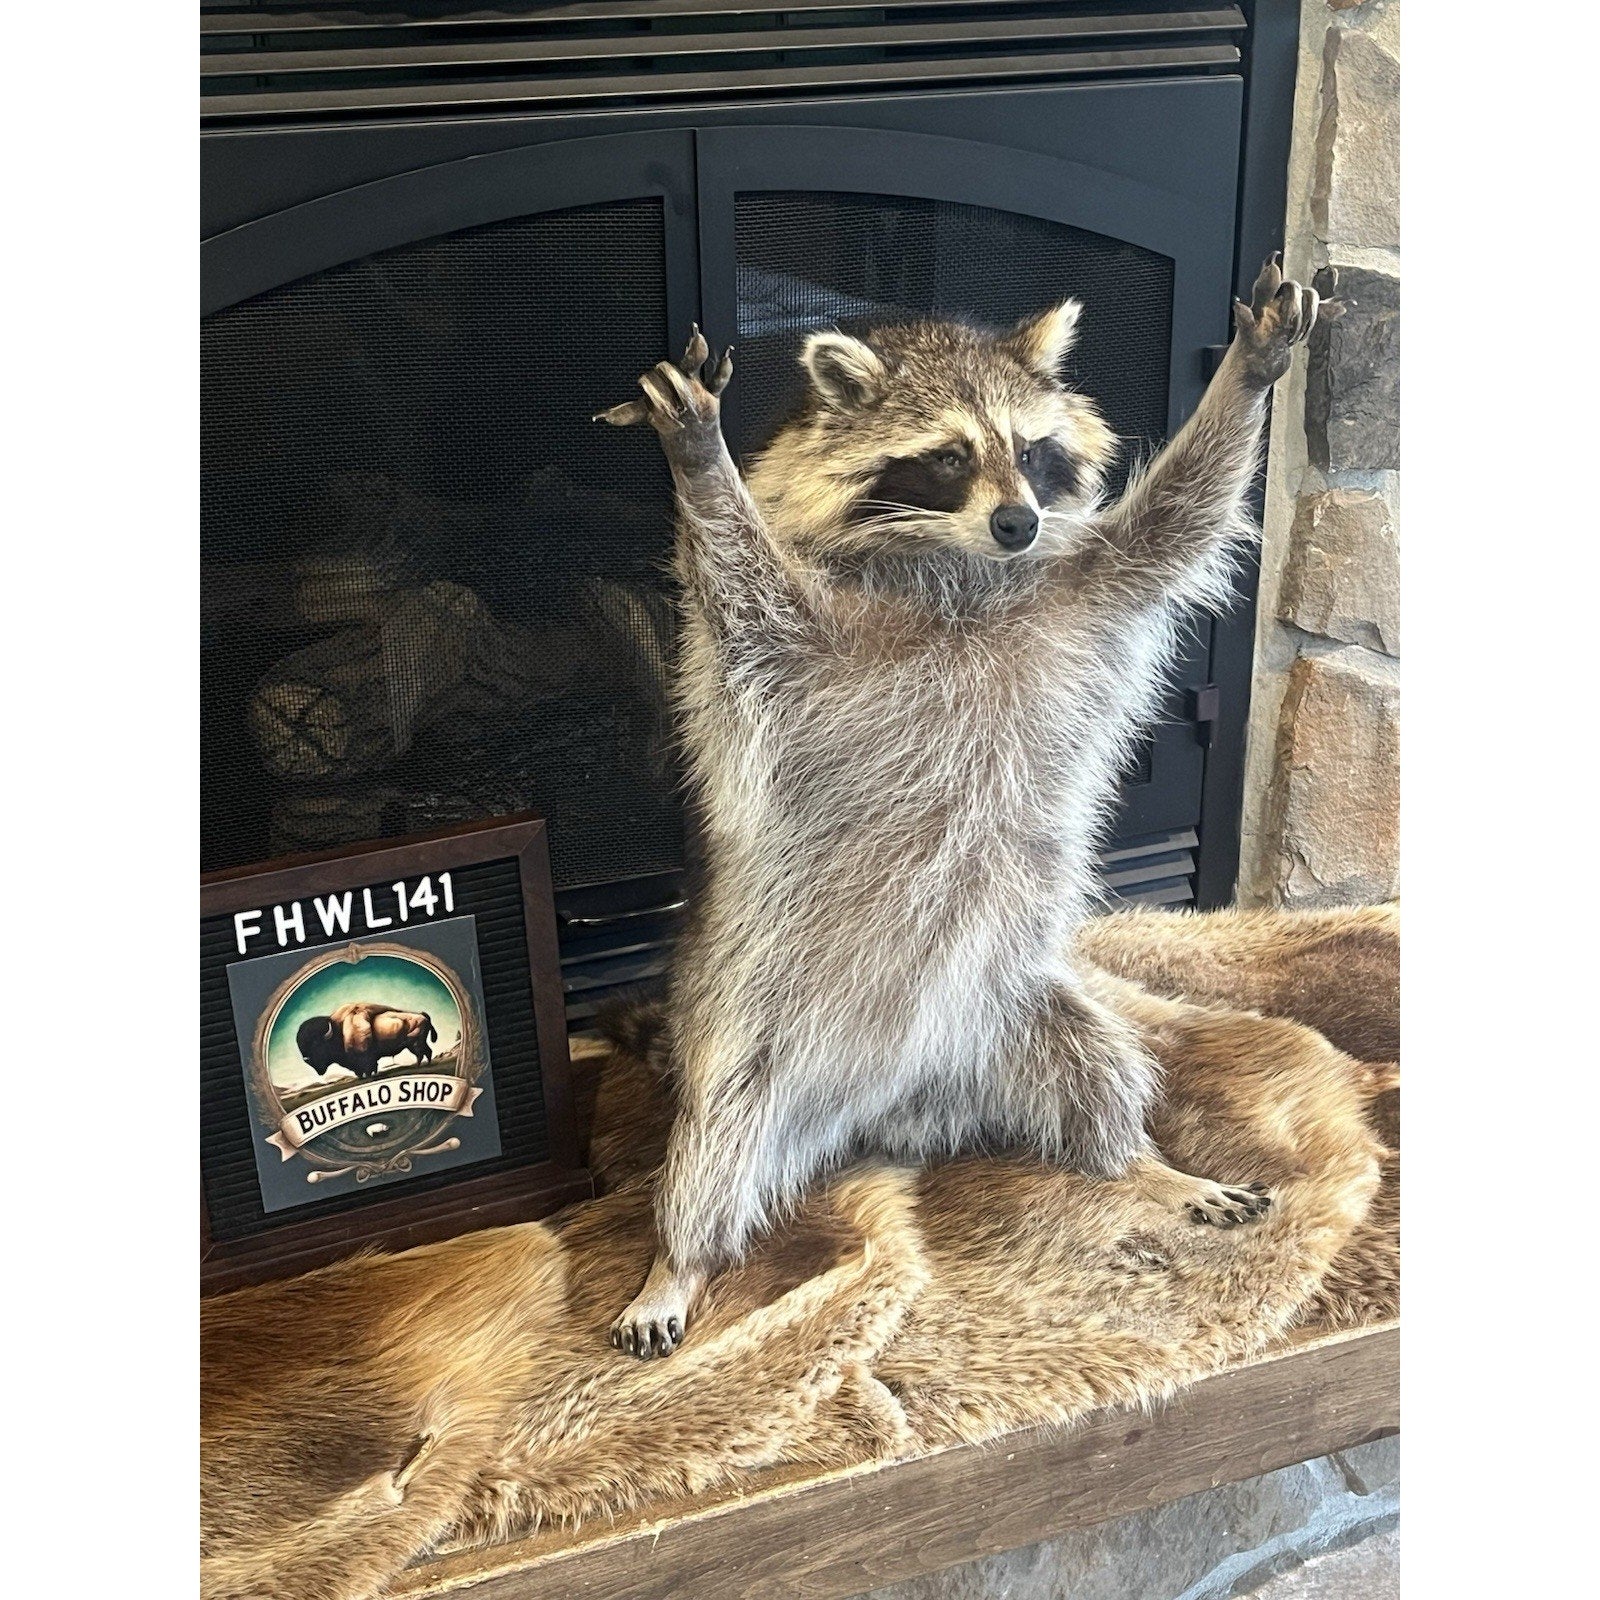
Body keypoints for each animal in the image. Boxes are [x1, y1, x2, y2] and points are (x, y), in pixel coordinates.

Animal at [597, 256, 1337, 1358]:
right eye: (946, 458)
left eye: (1031, 452)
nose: (1017, 521)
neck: (962, 572)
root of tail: (891, 1107)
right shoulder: (798, 649)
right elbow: (737, 584)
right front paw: (701, 465)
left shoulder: (1082, 588)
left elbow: (1178, 519)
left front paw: (1247, 376)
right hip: (751, 1033)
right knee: (712, 1147)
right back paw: (676, 1261)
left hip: (1019, 1003)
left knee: (1097, 1062)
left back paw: (1135, 1159)